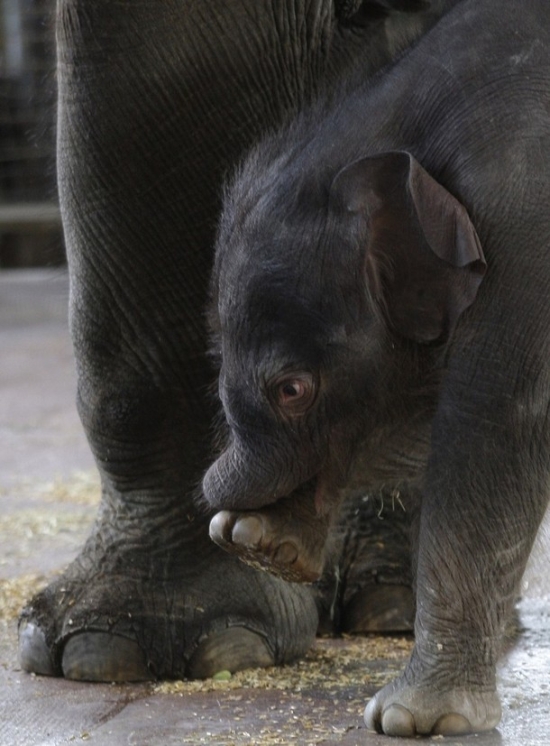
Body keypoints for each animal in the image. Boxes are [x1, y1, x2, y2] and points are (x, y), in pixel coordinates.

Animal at [204, 0, 550, 738]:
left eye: (292, 390)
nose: (227, 525)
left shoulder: (529, 231)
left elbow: (494, 431)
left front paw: (414, 720)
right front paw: (261, 544)